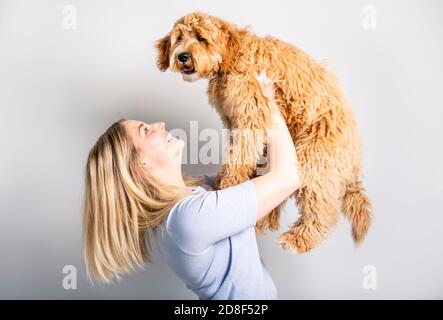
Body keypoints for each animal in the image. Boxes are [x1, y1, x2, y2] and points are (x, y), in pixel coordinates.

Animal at [155, 11, 372, 252]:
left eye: (201, 38)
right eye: (179, 38)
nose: (182, 56)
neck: (232, 58)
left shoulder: (252, 114)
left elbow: (240, 155)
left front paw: (229, 186)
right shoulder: (235, 120)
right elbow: (239, 154)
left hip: (314, 158)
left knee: (322, 209)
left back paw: (299, 238)